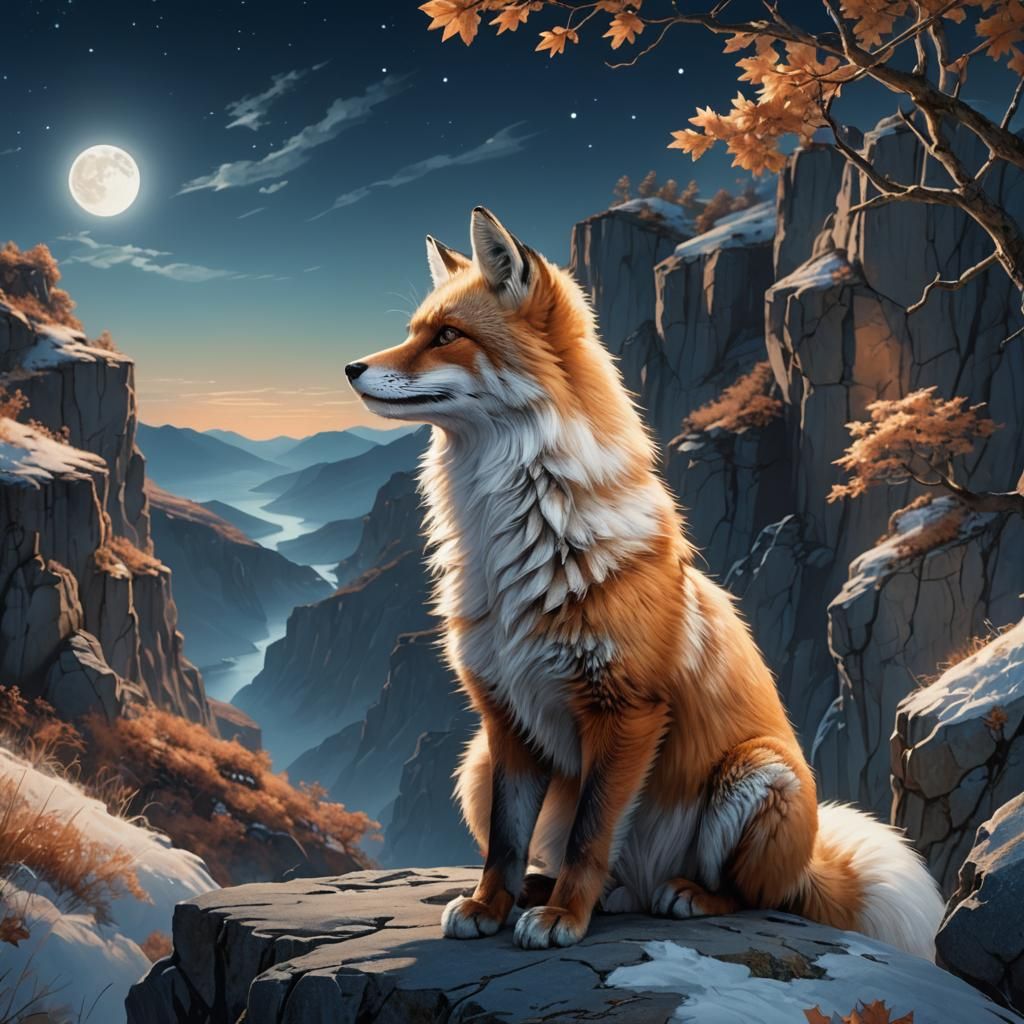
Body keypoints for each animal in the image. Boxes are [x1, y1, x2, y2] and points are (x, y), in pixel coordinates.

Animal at [344, 206, 944, 957]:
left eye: (447, 336)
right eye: (413, 331)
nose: (352, 367)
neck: (519, 544)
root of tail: (814, 866)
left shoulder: (626, 710)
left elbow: (589, 835)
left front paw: (564, 920)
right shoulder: (503, 716)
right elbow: (506, 842)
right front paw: (490, 905)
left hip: (759, 775)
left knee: (753, 897)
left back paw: (680, 897)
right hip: (474, 762)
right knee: (601, 879)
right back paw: (549, 893)